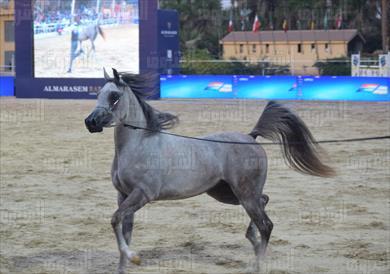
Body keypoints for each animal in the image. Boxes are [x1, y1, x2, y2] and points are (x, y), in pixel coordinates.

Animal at [84, 69, 334, 274]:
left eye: (114, 96)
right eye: (98, 94)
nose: (90, 122)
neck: (141, 144)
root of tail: (251, 137)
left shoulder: (142, 195)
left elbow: (115, 220)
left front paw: (134, 258)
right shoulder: (124, 196)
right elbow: (124, 230)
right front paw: (124, 265)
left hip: (244, 194)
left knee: (267, 224)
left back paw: (257, 264)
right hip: (228, 194)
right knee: (264, 201)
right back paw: (251, 239)